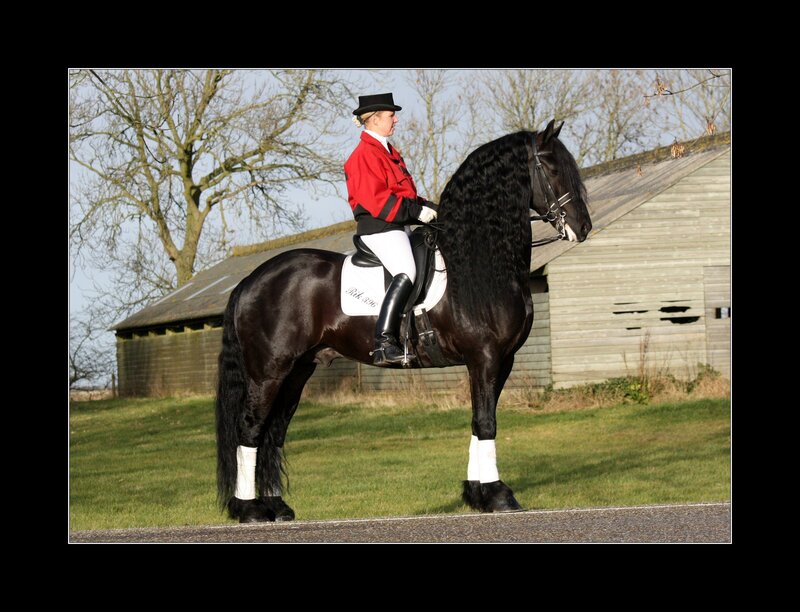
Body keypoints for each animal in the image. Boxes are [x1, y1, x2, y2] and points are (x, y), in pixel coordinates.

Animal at [215, 119, 592, 522]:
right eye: (551, 168)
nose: (583, 227)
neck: (480, 262)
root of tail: (250, 281)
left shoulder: (501, 360)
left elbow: (479, 422)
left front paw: (476, 494)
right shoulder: (485, 357)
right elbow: (486, 422)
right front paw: (498, 495)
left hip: (298, 370)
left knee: (274, 430)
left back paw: (277, 506)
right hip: (269, 370)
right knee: (251, 428)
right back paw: (248, 509)